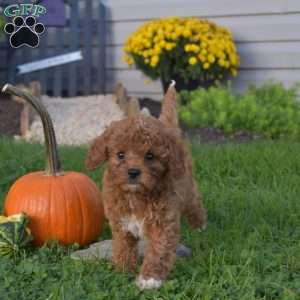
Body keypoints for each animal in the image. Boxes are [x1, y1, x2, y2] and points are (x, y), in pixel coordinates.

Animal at [85, 83, 205, 290]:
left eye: (150, 156)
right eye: (120, 155)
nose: (133, 172)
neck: (136, 195)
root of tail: (170, 129)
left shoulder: (162, 224)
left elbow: (158, 252)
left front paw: (150, 279)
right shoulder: (121, 225)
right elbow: (123, 248)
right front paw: (123, 270)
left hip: (188, 188)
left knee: (195, 204)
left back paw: (199, 226)